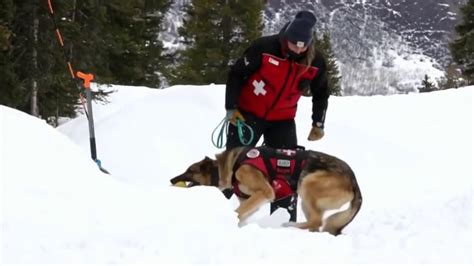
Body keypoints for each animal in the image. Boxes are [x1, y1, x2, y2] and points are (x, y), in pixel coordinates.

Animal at [171, 145, 362, 235]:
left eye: (190, 171)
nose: (171, 180)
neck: (228, 168)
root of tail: (354, 181)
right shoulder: (252, 201)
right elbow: (242, 213)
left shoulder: (265, 192)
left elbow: (238, 211)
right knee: (316, 223)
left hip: (307, 184)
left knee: (316, 221)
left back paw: (289, 226)